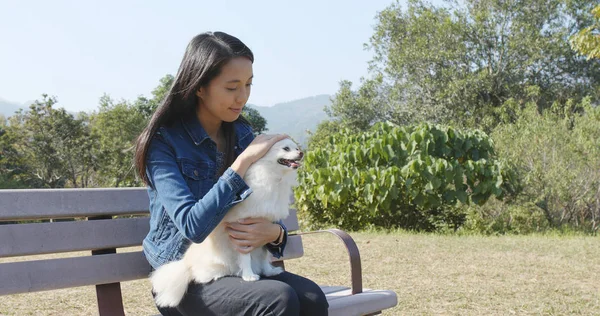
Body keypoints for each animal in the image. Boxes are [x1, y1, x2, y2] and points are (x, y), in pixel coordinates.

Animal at [150, 138, 304, 306]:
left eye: (297, 148)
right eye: (286, 148)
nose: (302, 152)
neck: (274, 177)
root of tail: (185, 264)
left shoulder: (264, 230)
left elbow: (264, 255)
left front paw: (268, 271)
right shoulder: (243, 231)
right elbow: (245, 257)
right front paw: (249, 276)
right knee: (199, 276)